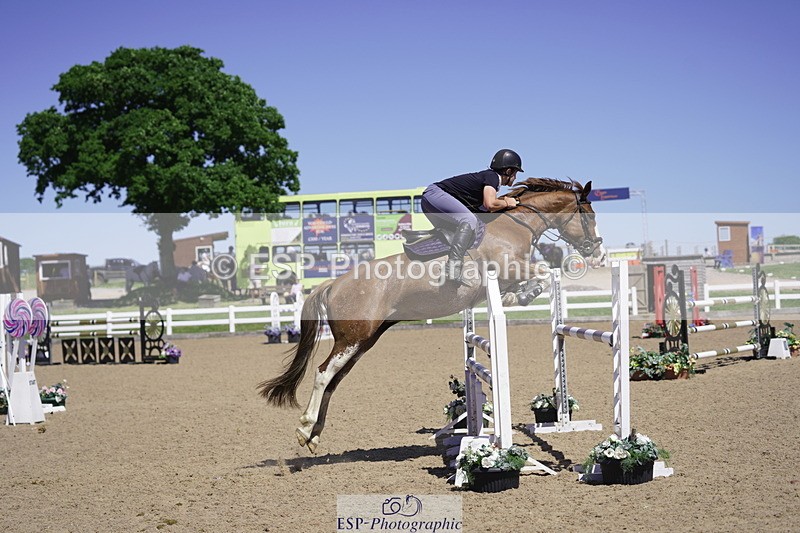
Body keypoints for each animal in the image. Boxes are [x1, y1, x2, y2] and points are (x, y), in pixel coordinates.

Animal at [257, 178, 606, 452]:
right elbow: (545, 273)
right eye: (589, 215)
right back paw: (304, 428)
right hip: (352, 338)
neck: (514, 226)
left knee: (333, 380)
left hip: (362, 342)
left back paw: (314, 436)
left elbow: (538, 278)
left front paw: (517, 295)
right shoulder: (510, 267)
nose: (599, 253)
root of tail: (332, 284)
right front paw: (525, 294)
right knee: (322, 373)